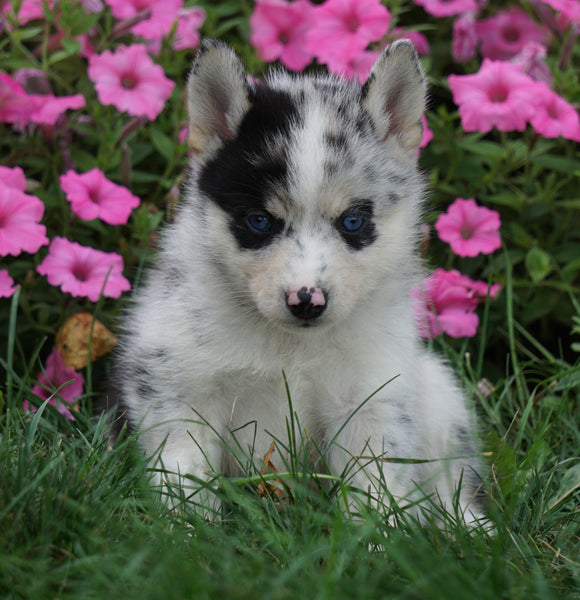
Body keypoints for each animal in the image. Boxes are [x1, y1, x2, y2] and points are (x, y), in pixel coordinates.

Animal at [113, 39, 484, 524]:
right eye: (259, 220)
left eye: (352, 221)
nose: (306, 301)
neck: (291, 349)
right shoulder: (179, 390)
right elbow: (185, 480)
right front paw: (190, 533)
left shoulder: (369, 402)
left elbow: (374, 491)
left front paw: (375, 540)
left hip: (439, 397)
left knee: (449, 483)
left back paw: (472, 528)